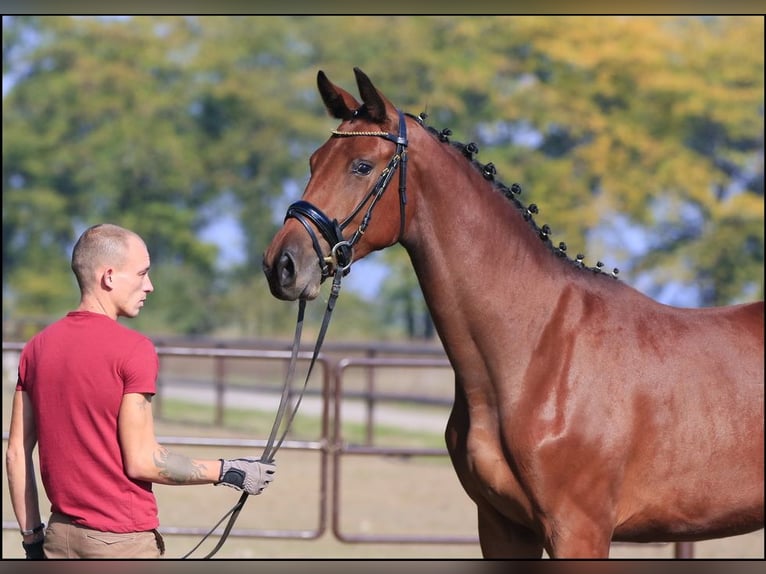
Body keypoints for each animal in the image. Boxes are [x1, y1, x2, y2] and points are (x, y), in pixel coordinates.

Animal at [262, 67, 760, 560]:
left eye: (361, 166)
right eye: (313, 161)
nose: (281, 264)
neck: (538, 350)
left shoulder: (579, 532)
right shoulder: (502, 527)